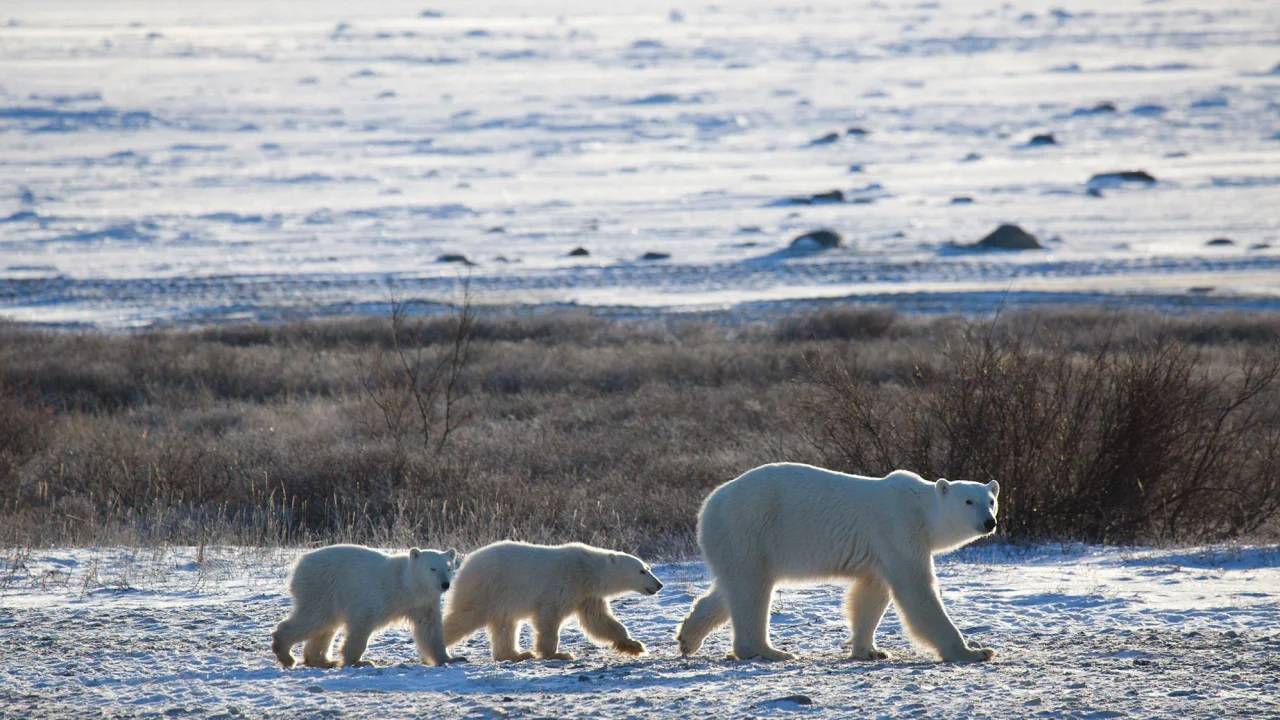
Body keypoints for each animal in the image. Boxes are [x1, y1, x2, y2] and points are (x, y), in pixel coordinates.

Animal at [680, 461, 998, 661]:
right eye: (968, 501)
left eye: (991, 500)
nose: (989, 522)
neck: (920, 507)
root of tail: (709, 504)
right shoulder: (898, 528)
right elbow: (916, 590)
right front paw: (975, 652)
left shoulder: (880, 551)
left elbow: (871, 594)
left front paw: (870, 650)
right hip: (748, 528)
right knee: (751, 589)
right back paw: (768, 651)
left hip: (734, 540)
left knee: (732, 587)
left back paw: (688, 637)